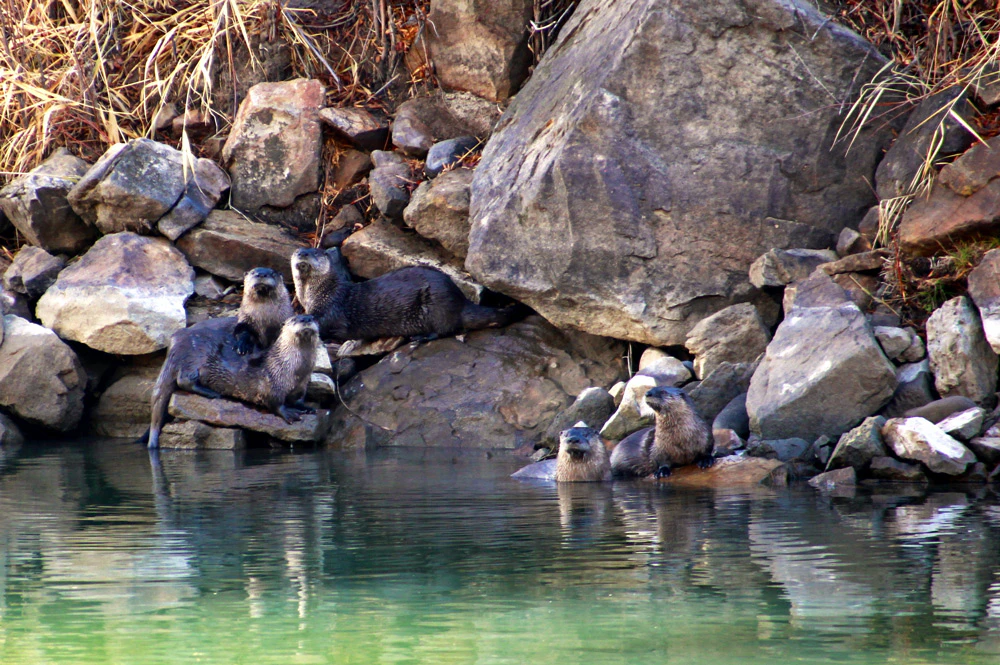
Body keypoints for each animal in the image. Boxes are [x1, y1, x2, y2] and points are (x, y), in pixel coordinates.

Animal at [147, 269, 296, 448]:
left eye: (271, 273)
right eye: (254, 271)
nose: (261, 274)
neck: (265, 324)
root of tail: (175, 342)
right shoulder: (246, 325)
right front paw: (243, 346)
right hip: (196, 353)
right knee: (184, 379)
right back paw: (211, 393)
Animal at [291, 247, 525, 342]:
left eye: (315, 252)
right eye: (297, 252)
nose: (302, 253)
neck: (321, 293)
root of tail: (460, 300)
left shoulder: (332, 307)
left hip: (437, 305)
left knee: (445, 329)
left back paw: (420, 337)